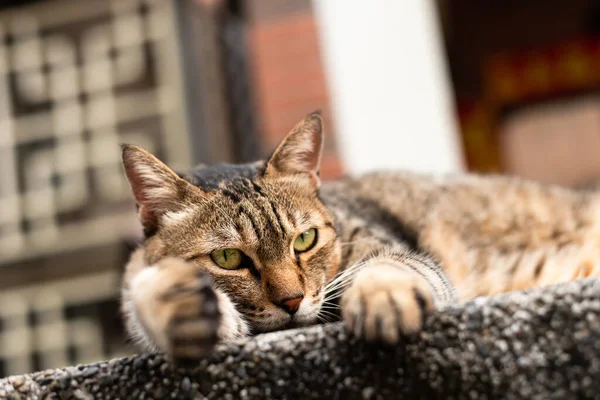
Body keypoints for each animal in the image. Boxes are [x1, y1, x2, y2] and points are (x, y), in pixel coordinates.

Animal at [119, 111, 600, 364]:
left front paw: (381, 297)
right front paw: (174, 302)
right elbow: (147, 289)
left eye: (305, 239)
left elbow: (389, 266)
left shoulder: (400, 251)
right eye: (229, 259)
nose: (292, 301)